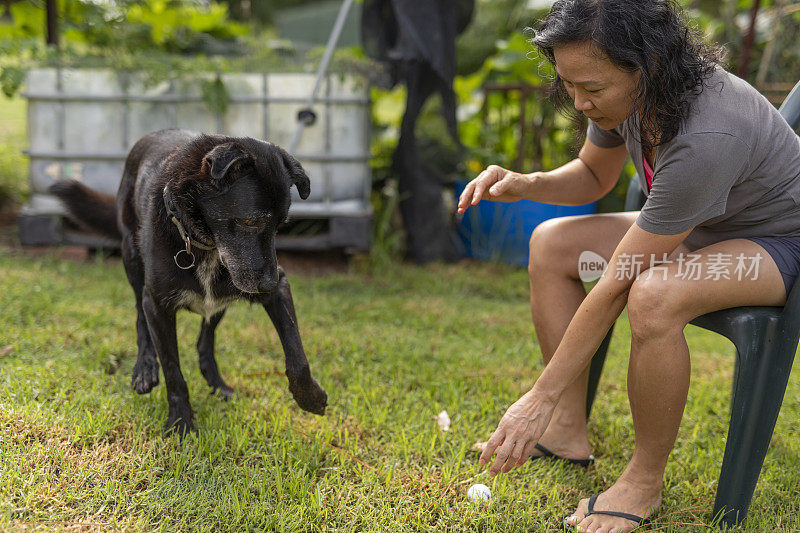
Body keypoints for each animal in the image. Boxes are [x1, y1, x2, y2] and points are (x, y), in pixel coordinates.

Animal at [50, 130, 326, 436]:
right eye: (250, 221)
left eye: (281, 225)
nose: (268, 284)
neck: (205, 243)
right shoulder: (158, 305)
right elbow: (173, 371)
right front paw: (180, 422)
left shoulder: (279, 289)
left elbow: (297, 355)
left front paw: (311, 397)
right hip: (131, 258)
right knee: (139, 315)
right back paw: (144, 368)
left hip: (220, 298)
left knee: (206, 337)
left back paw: (217, 384)